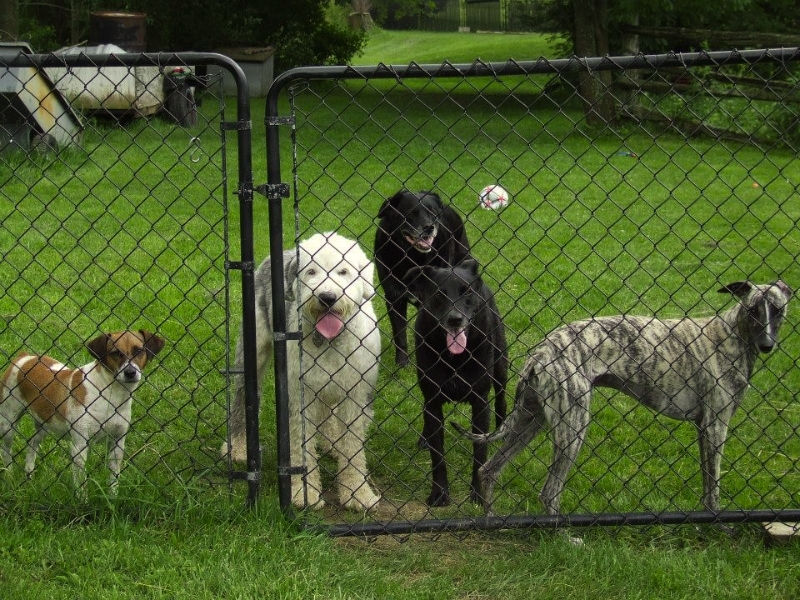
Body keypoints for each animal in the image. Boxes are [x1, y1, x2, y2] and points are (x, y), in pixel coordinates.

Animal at [0, 330, 165, 494]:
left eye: (139, 350)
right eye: (115, 353)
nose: (130, 372)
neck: (109, 394)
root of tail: (23, 357)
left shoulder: (117, 444)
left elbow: (113, 480)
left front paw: (113, 497)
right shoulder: (79, 446)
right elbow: (81, 484)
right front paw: (82, 499)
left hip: (43, 423)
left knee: (32, 443)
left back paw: (29, 475)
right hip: (8, 425)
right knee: (6, 451)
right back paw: (9, 476)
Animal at [220, 232, 380, 508]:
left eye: (343, 271)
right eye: (311, 271)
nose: (327, 297)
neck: (329, 340)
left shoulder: (356, 394)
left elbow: (353, 447)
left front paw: (357, 493)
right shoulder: (299, 394)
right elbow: (301, 445)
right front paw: (304, 493)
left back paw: (332, 443)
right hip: (253, 350)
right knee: (242, 398)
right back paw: (237, 448)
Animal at [374, 190, 468, 366]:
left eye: (433, 212)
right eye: (411, 213)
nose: (429, 227)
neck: (413, 257)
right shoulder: (394, 296)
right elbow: (400, 334)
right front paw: (402, 362)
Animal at [410, 258, 510, 506]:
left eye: (467, 292)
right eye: (439, 293)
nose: (455, 319)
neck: (454, 356)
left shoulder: (480, 402)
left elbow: (479, 451)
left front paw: (477, 493)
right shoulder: (432, 401)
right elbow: (437, 454)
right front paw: (439, 493)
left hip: (501, 367)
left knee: (501, 399)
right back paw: (424, 439)